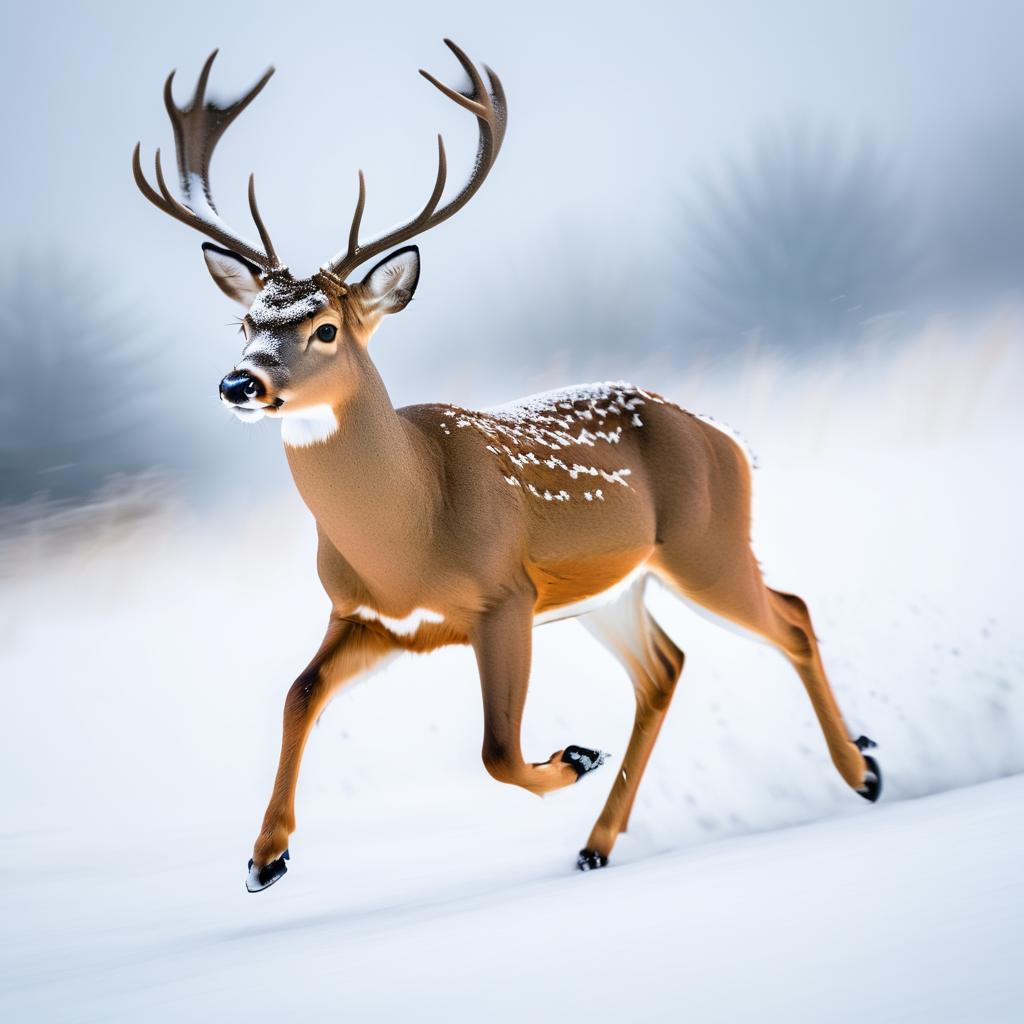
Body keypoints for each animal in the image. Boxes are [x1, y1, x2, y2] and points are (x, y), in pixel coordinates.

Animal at [130, 39, 880, 892]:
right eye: (247, 322)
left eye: (325, 329)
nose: (239, 383)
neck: (409, 526)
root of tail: (724, 437)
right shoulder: (367, 615)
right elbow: (298, 693)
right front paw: (266, 857)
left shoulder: (504, 596)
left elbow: (493, 748)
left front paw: (575, 755)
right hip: (613, 589)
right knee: (665, 666)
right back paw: (597, 844)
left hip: (705, 545)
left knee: (791, 615)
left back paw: (862, 770)